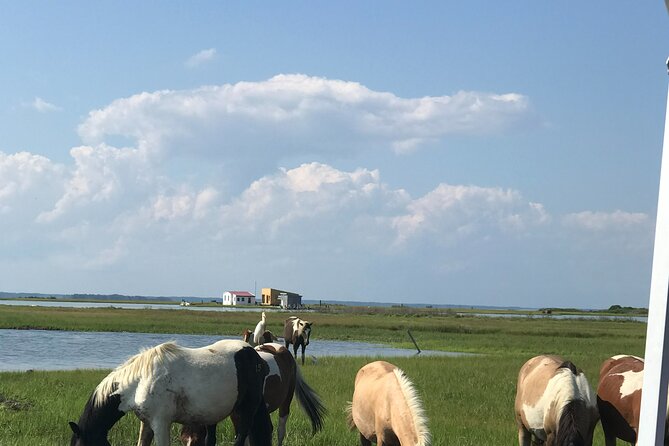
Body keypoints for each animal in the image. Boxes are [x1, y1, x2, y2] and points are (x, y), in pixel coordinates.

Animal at [69, 340, 272, 446]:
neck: (139, 381)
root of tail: (255, 355)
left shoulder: (161, 423)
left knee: (242, 434)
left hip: (246, 409)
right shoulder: (147, 424)